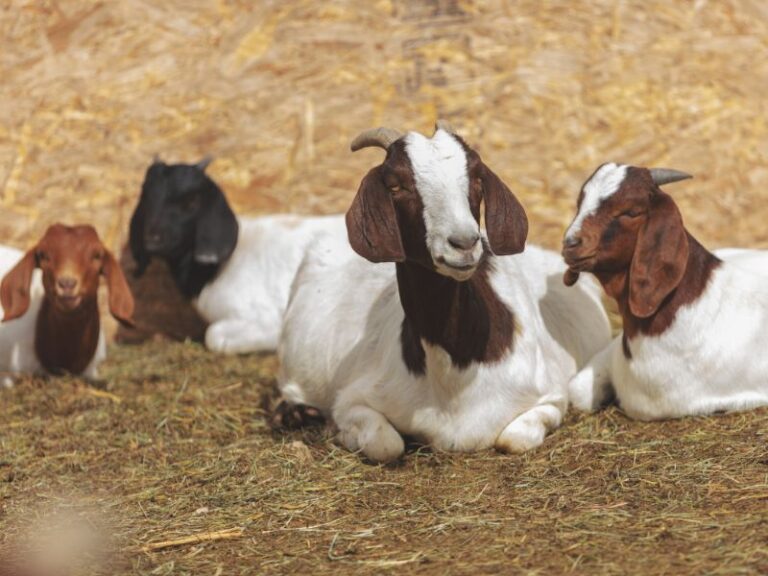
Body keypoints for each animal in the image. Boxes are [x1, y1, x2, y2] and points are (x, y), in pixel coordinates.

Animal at [277, 124, 611, 462]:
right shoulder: (352, 398)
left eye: (476, 178)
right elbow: (386, 445)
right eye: (396, 185)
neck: (457, 374)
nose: (464, 243)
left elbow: (513, 440)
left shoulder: (552, 398)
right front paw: (335, 429)